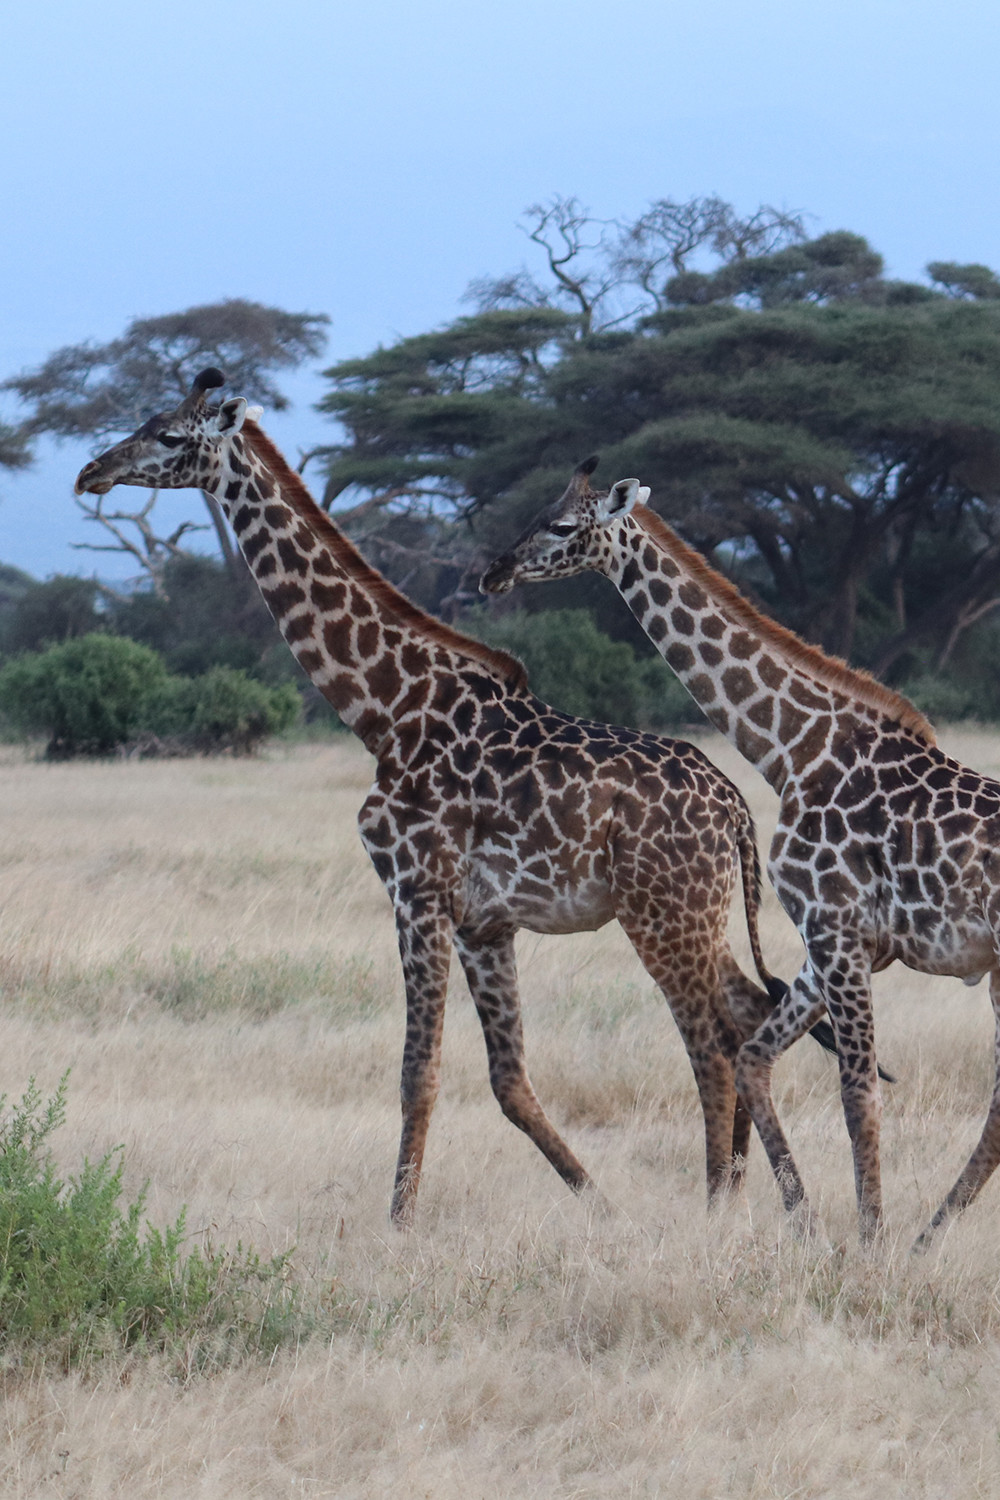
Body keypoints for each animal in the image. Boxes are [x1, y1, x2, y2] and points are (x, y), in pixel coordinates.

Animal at [74, 370, 827, 1225]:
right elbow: (508, 1080)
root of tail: (734, 809)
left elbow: (418, 1072)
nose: (91, 472)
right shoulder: (483, 922)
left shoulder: (415, 890)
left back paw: (717, 1207)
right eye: (145, 420)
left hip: (662, 913)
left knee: (712, 1043)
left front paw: (398, 1224)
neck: (387, 709)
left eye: (169, 436)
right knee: (748, 1018)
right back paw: (765, 1198)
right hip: (698, 914)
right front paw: (598, 1204)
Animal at [482, 456, 1000, 1248]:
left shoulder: (839, 931)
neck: (793, 750)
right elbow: (757, 1057)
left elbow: (857, 1094)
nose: (496, 571)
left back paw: (918, 1238)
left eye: (562, 525)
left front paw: (867, 1242)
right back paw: (927, 1235)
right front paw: (812, 1226)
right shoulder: (832, 943)